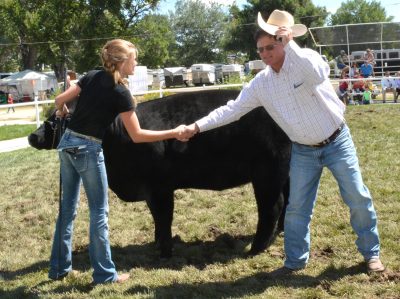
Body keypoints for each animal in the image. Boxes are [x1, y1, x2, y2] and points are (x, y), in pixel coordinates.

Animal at [28, 89, 290, 258]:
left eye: (58, 118)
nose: (32, 136)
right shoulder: (151, 190)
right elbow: (156, 217)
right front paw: (156, 244)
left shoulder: (159, 187)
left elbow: (164, 217)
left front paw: (164, 251)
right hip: (285, 171)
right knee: (287, 201)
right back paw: (281, 232)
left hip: (267, 172)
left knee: (272, 206)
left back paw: (257, 247)